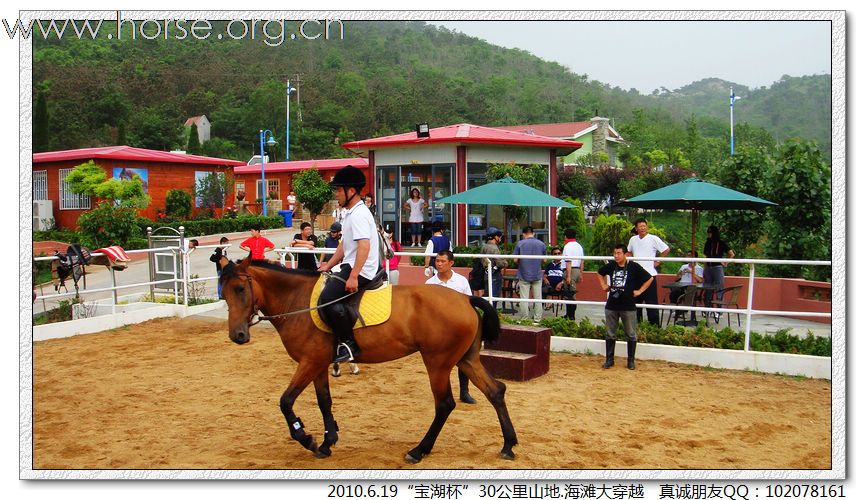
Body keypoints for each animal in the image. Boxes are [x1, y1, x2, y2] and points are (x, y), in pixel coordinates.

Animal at [219, 258, 516, 464]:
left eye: (240, 289)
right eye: (224, 291)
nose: (238, 335)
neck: (298, 301)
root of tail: (466, 298)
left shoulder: (308, 363)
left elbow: (286, 402)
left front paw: (307, 438)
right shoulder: (317, 365)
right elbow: (324, 401)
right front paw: (327, 441)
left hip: (438, 362)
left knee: (444, 404)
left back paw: (419, 450)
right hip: (465, 359)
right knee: (495, 391)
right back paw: (508, 445)